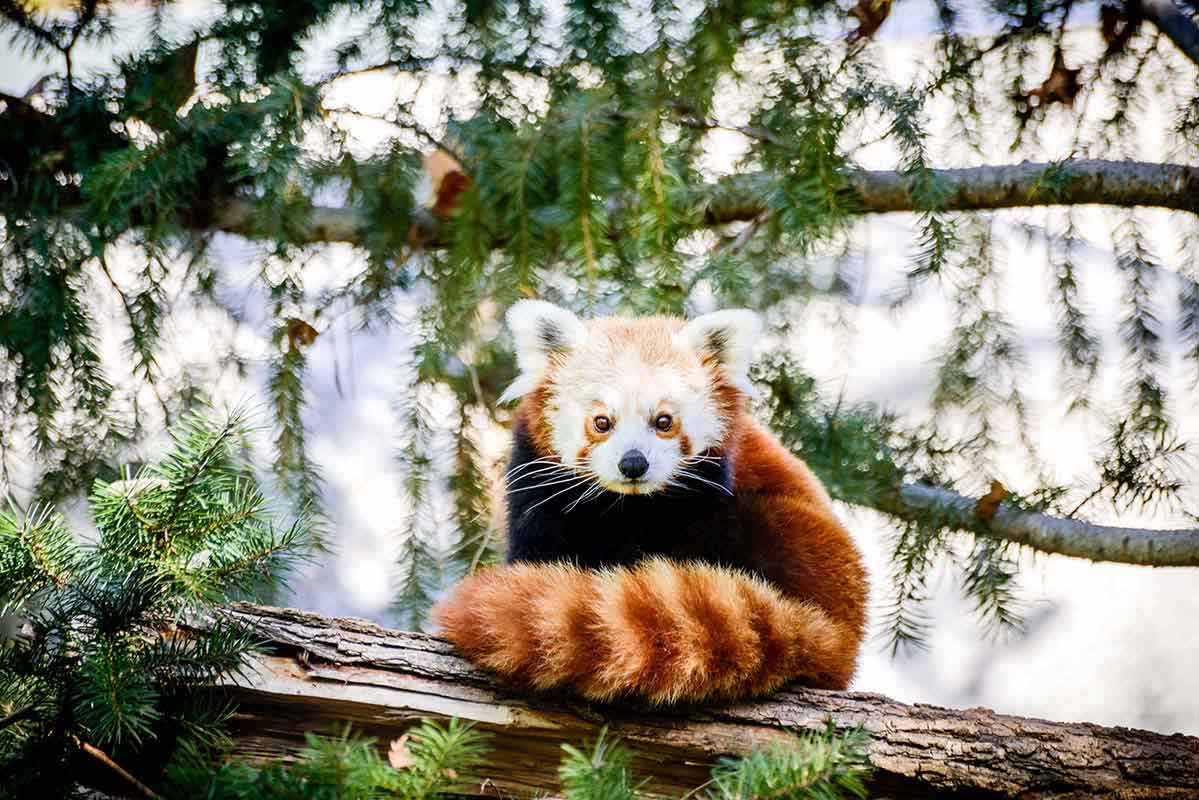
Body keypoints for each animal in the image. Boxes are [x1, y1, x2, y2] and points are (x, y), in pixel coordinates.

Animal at [436, 302, 868, 705]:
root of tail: (842, 631)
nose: (633, 463)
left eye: (664, 422)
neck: (624, 507)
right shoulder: (537, 488)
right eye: (602, 422)